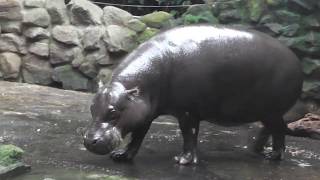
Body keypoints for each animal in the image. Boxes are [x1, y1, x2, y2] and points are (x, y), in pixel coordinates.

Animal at [82, 25, 302, 165]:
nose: (89, 141)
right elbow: (137, 137)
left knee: (279, 131)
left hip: (272, 111)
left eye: (113, 112)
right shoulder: (143, 111)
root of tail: (295, 59)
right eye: (91, 108)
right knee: (268, 130)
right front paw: (121, 156)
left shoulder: (187, 111)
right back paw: (255, 150)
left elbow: (189, 134)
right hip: (265, 111)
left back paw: (273, 157)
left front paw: (183, 161)